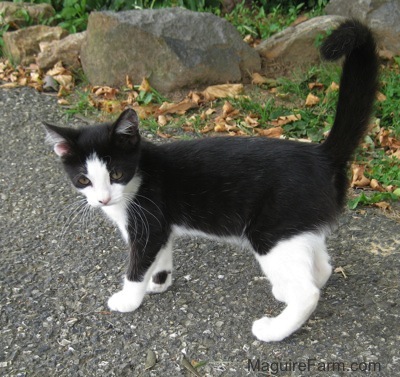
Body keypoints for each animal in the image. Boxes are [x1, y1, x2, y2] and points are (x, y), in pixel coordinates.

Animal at [44, 19, 378, 340]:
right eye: (83, 180)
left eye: (116, 174)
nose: (102, 199)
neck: (139, 176)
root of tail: (321, 155)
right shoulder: (161, 226)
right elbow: (161, 256)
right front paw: (159, 283)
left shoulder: (147, 223)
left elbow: (137, 265)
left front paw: (128, 299)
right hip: (299, 225)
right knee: (321, 266)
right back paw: (289, 288)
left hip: (272, 230)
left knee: (307, 292)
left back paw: (274, 329)